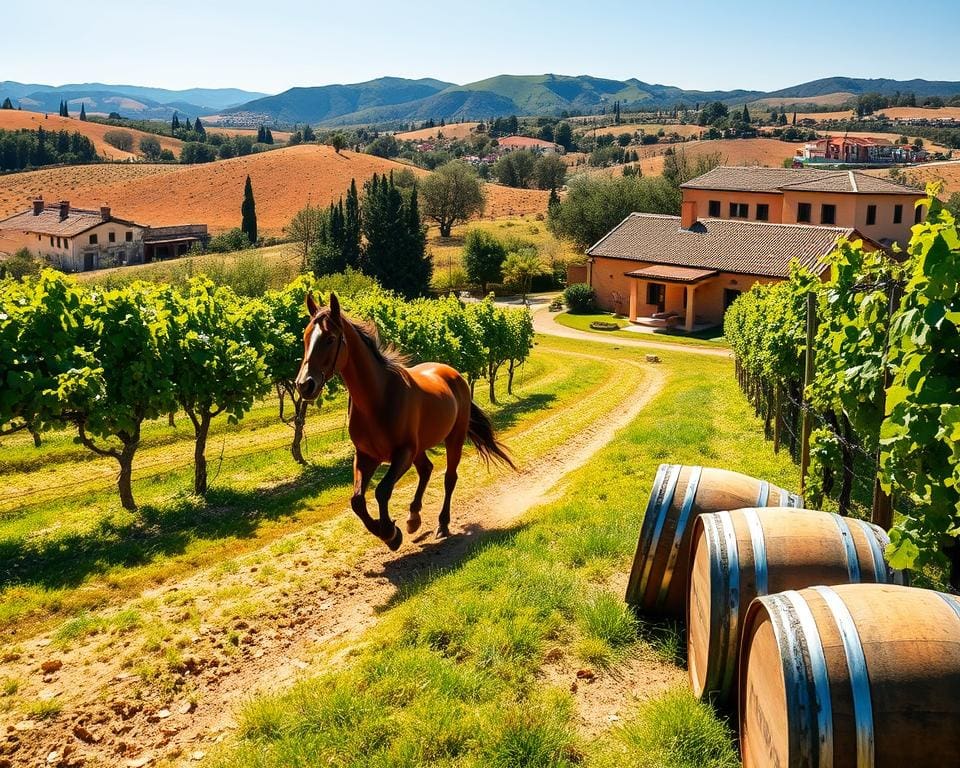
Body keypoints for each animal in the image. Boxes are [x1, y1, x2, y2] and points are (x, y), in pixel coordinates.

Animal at [294, 292, 512, 548]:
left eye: (329, 339)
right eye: (305, 337)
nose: (304, 385)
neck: (378, 399)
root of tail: (453, 374)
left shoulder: (403, 454)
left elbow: (382, 491)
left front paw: (390, 533)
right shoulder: (366, 456)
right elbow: (357, 500)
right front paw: (389, 531)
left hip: (453, 439)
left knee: (449, 478)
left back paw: (442, 524)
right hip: (420, 448)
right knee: (426, 469)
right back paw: (413, 518)